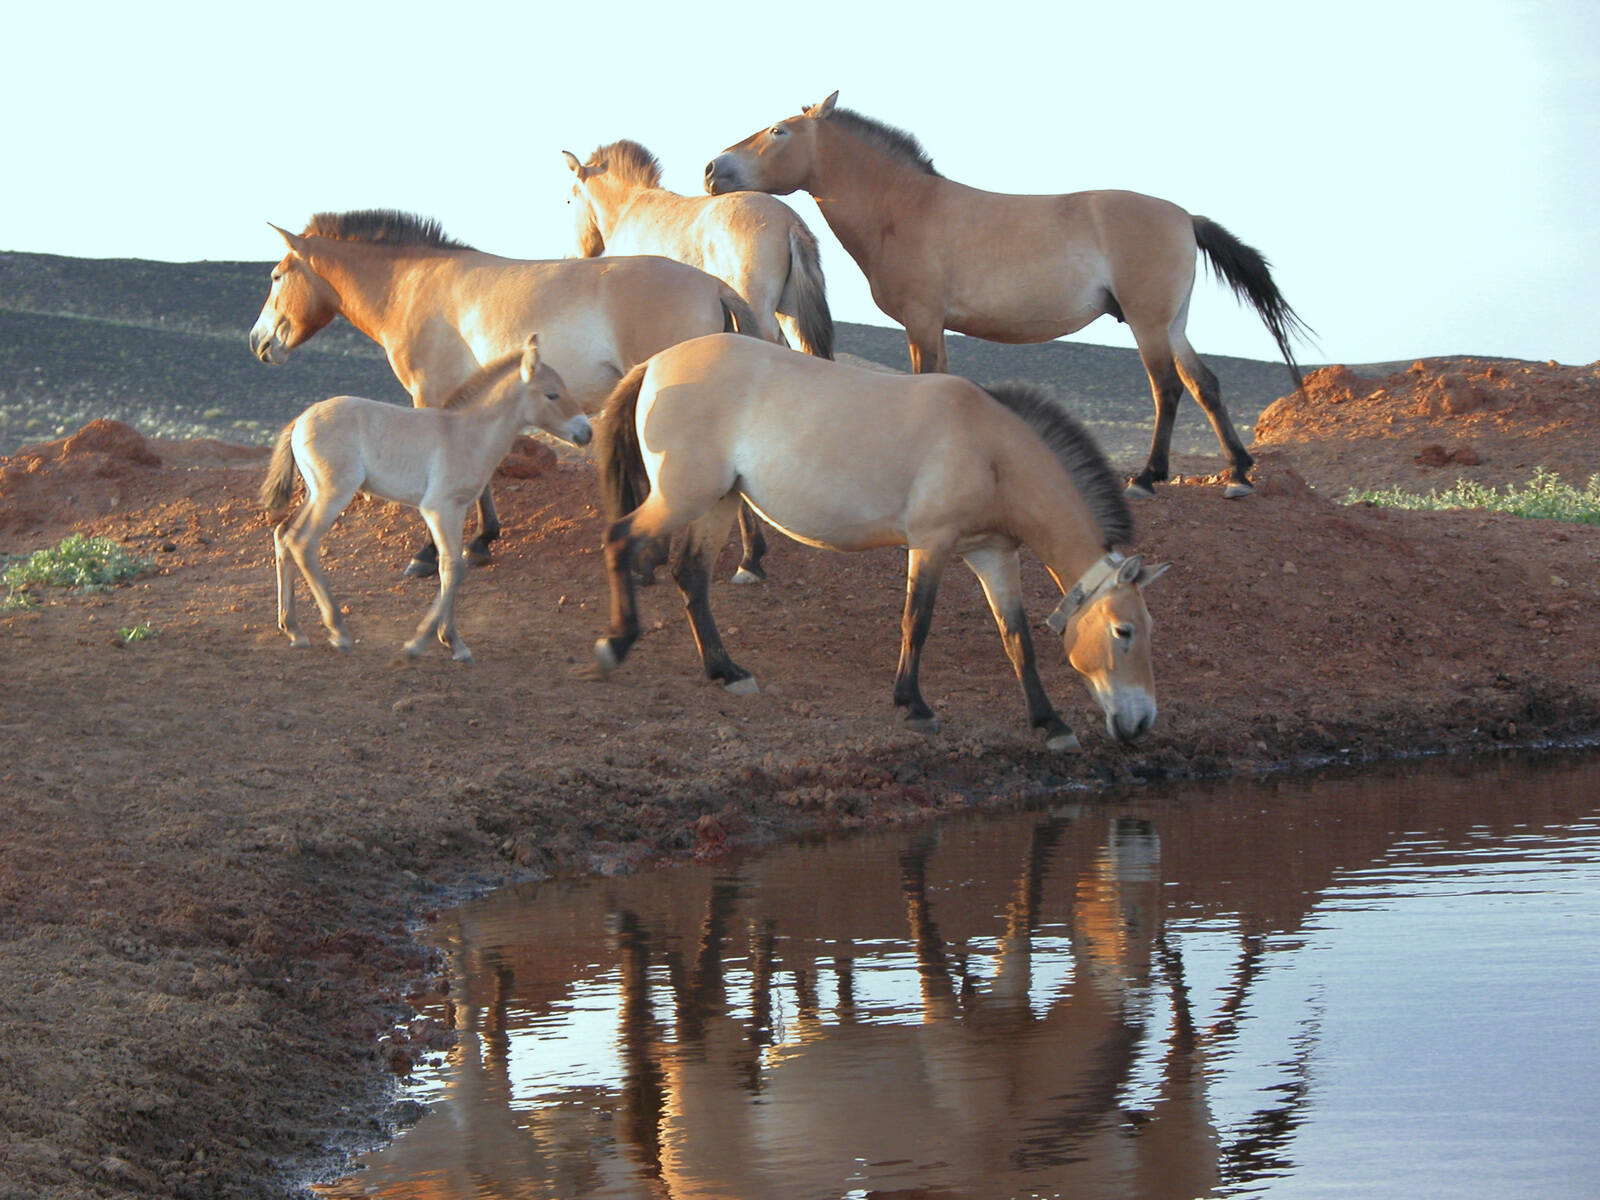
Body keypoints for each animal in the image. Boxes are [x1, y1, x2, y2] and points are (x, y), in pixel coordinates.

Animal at [248, 206, 774, 579]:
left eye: (276, 276)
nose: (258, 341)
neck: (413, 284)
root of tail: (713, 286)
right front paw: (483, 540)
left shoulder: (430, 397)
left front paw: (428, 555)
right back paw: (748, 559)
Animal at [259, 334, 592, 662]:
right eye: (552, 395)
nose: (586, 432)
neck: (466, 434)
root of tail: (300, 420)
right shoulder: (438, 509)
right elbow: (454, 568)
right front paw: (424, 642)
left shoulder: (457, 509)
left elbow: (448, 567)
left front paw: (450, 639)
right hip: (333, 494)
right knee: (302, 542)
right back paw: (338, 631)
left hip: (315, 493)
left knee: (283, 534)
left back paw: (293, 629)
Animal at [582, 331, 1171, 752]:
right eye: (1122, 631)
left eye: (1147, 630)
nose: (1142, 721)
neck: (991, 450)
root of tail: (656, 364)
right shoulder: (931, 543)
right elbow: (917, 621)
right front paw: (914, 705)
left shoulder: (993, 555)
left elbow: (1016, 638)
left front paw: (1050, 722)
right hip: (682, 497)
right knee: (619, 541)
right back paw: (615, 645)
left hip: (719, 501)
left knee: (692, 575)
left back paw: (725, 671)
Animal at [713, 91, 1312, 499]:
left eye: (779, 130)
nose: (713, 169)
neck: (905, 208)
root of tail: (1185, 217)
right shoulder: (933, 326)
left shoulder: (922, 321)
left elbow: (926, 381)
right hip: (1172, 323)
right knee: (1204, 383)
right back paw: (1238, 473)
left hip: (1148, 323)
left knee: (1167, 387)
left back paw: (1148, 477)